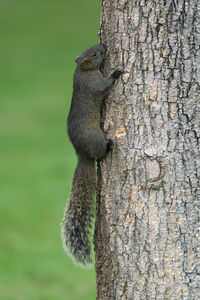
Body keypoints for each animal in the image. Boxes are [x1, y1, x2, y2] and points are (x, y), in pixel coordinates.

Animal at [61, 43, 123, 266]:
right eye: (95, 53)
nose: (103, 45)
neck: (82, 71)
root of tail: (82, 154)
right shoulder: (95, 85)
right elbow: (104, 86)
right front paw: (116, 73)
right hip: (95, 136)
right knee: (99, 154)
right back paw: (109, 146)